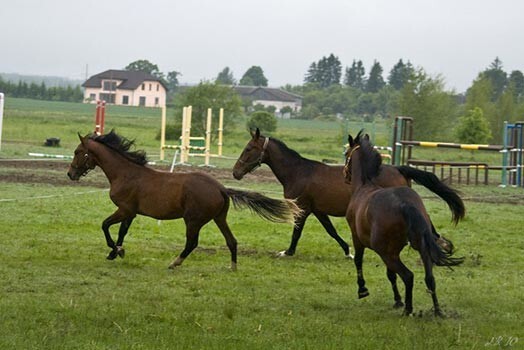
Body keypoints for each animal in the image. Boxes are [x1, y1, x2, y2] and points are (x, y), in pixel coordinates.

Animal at [67, 131, 300, 270]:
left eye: (78, 152)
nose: (70, 174)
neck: (125, 173)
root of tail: (221, 188)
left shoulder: (124, 210)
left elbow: (105, 225)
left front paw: (115, 251)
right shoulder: (131, 213)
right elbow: (122, 232)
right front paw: (117, 252)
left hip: (193, 220)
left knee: (192, 242)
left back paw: (174, 263)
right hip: (219, 218)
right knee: (231, 241)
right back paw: (233, 267)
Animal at [232, 129, 462, 258]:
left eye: (249, 148)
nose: (235, 172)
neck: (298, 172)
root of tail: (399, 169)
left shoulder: (303, 208)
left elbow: (297, 231)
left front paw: (287, 252)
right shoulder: (318, 210)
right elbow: (331, 231)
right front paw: (348, 251)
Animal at [346, 131, 464, 318]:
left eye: (346, 154)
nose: (345, 176)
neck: (364, 186)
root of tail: (404, 204)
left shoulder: (357, 238)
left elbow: (358, 261)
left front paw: (363, 290)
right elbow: (390, 274)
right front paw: (397, 300)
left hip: (386, 253)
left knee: (408, 276)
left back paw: (408, 309)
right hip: (420, 246)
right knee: (429, 279)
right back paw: (437, 311)